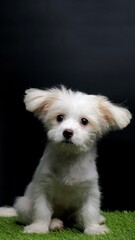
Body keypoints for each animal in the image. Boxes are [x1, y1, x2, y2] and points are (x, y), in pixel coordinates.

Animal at [0, 86, 131, 234]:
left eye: (84, 121)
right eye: (60, 117)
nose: (67, 132)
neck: (69, 159)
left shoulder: (91, 190)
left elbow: (90, 211)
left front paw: (94, 229)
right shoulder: (42, 188)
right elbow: (42, 211)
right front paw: (39, 227)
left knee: (78, 215)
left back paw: (92, 219)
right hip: (24, 205)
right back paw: (55, 223)